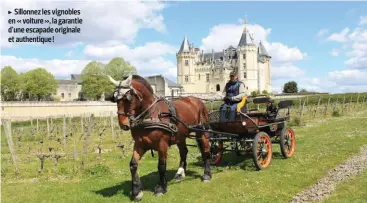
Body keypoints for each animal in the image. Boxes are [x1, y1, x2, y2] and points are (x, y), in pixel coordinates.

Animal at [108, 73, 211, 201]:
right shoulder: (140, 144)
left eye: (128, 98)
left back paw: (207, 174)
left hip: (202, 131)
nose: (123, 124)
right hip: (180, 135)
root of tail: (197, 100)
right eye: (115, 99)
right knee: (184, 151)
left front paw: (161, 188)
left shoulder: (162, 144)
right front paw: (137, 191)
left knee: (205, 150)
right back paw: (180, 173)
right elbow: (133, 164)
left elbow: (161, 166)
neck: (151, 114)